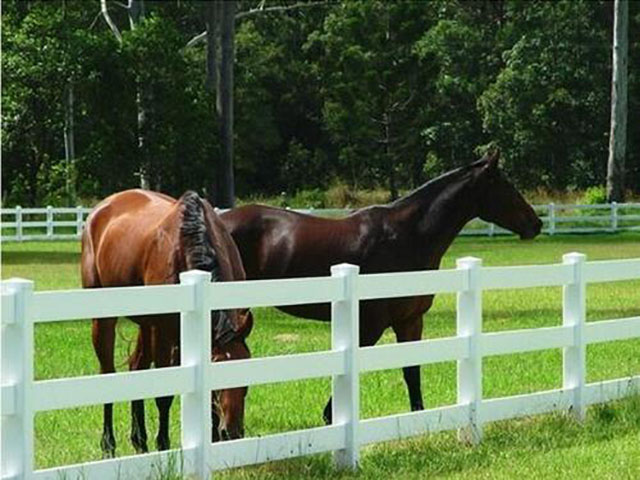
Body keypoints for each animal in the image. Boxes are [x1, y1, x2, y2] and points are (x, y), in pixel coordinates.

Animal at [82, 188, 255, 458]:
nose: (232, 433)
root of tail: (100, 209)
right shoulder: (165, 332)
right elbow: (165, 395)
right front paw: (163, 445)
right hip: (106, 320)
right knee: (108, 373)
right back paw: (109, 445)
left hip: (145, 324)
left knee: (136, 366)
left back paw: (139, 441)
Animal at [220, 152, 540, 422]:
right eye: (505, 186)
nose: (535, 223)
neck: (408, 236)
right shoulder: (371, 324)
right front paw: (330, 417)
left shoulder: (410, 320)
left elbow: (412, 371)